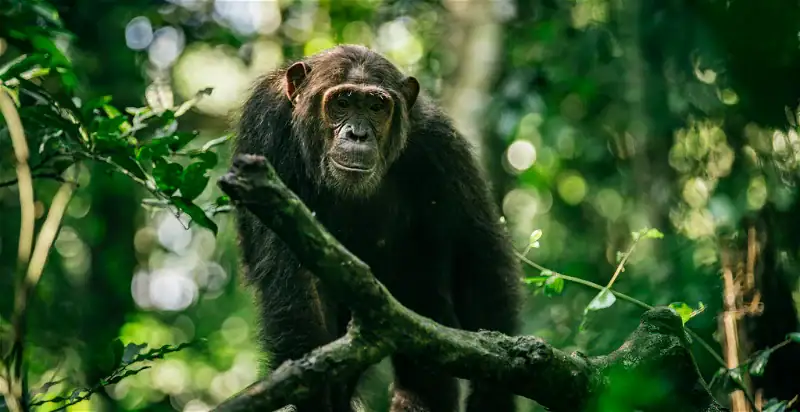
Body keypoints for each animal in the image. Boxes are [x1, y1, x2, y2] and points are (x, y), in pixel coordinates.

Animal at [234, 44, 522, 412]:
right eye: (342, 102)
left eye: (376, 106)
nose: (358, 134)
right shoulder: (265, 130)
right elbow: (288, 260)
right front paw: (312, 391)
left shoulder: (440, 144)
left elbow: (475, 250)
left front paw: (492, 393)